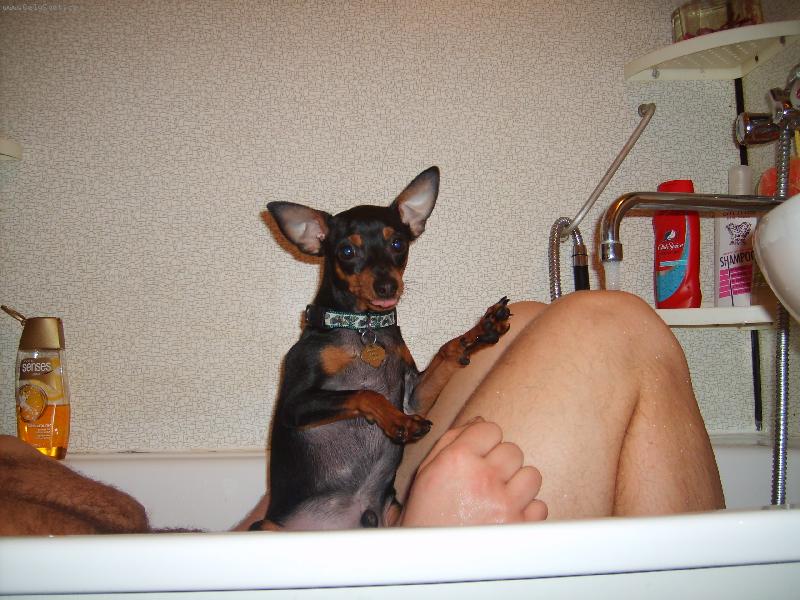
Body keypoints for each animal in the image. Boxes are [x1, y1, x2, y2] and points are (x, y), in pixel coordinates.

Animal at [253, 166, 511, 531]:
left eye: (397, 244)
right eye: (347, 252)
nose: (387, 285)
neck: (363, 327)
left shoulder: (414, 394)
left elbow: (446, 350)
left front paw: (479, 330)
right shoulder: (294, 405)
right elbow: (365, 393)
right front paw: (397, 421)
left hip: (391, 513)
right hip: (266, 527)